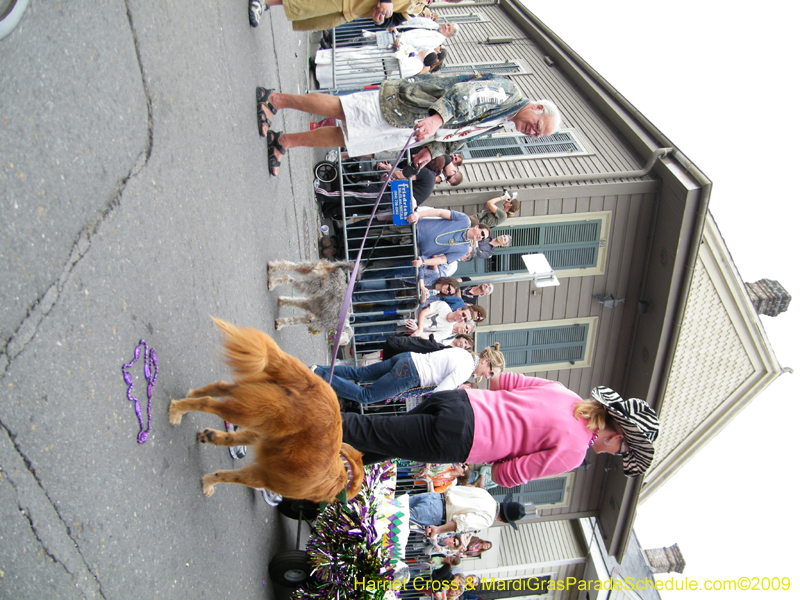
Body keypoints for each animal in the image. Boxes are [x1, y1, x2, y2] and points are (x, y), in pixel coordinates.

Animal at [173, 316, 368, 504]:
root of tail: (314, 386)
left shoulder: (259, 438)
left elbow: (230, 441)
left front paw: (211, 438)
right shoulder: (263, 477)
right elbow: (227, 476)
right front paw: (208, 483)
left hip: (253, 397)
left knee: (217, 388)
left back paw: (189, 399)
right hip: (254, 412)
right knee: (208, 403)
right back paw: (176, 411)